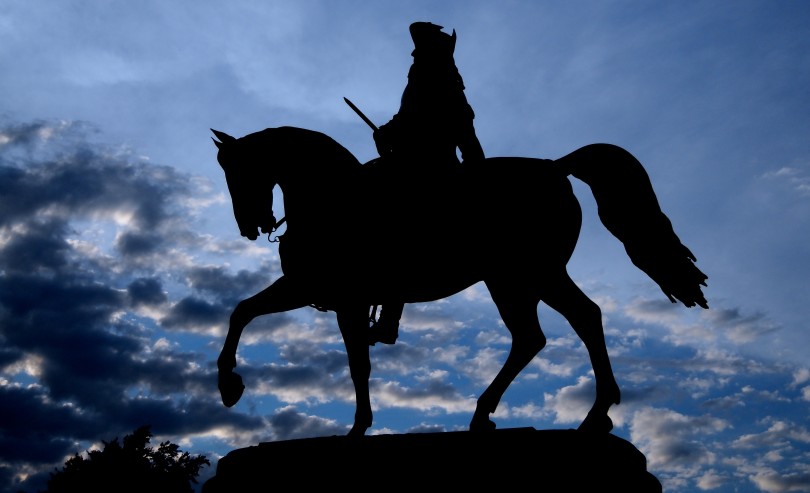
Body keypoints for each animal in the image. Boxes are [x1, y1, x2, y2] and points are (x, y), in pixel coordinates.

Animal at [211, 125, 704, 436]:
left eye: (236, 171)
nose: (250, 226)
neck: (331, 201)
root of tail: (554, 166)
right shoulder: (308, 289)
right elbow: (242, 311)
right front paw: (230, 385)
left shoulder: (342, 299)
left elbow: (357, 365)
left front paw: (357, 427)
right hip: (518, 280)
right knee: (548, 331)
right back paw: (528, 414)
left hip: (527, 275)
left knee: (571, 322)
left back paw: (584, 412)